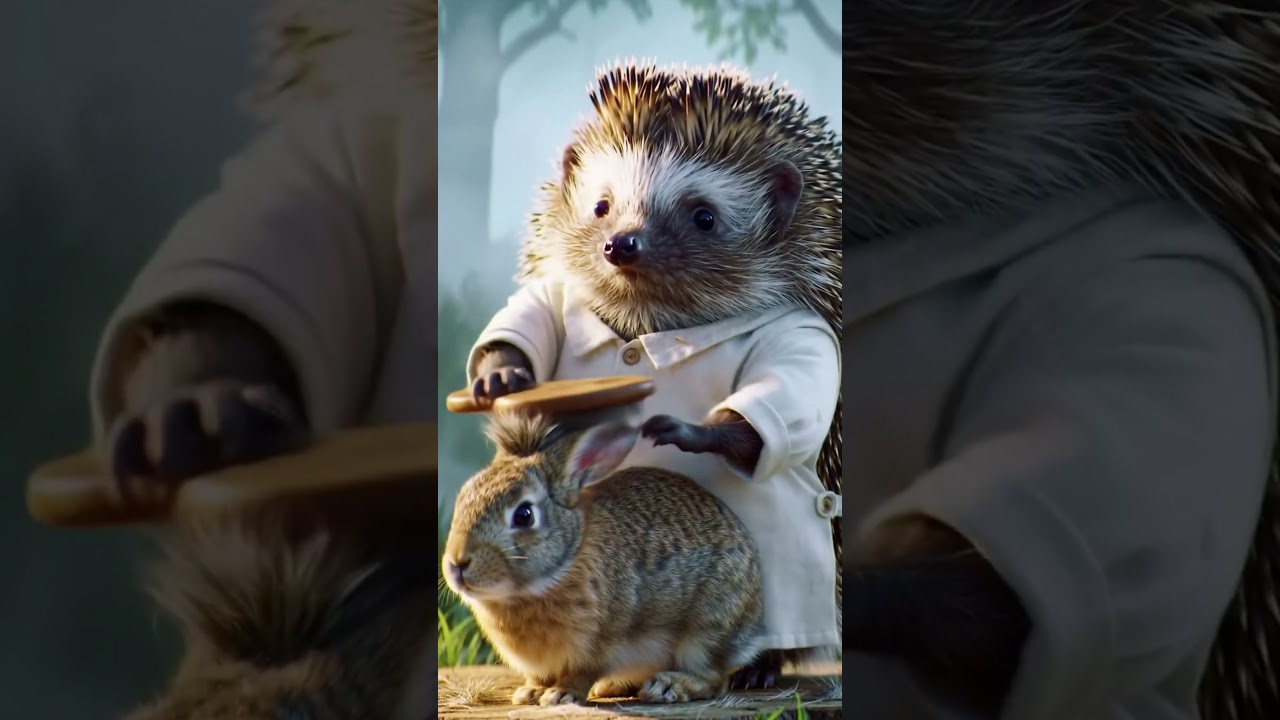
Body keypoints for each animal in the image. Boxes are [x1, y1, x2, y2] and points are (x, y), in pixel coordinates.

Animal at [441, 409, 765, 706]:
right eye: (461, 501)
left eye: (524, 515)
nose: (458, 563)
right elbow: (539, 677)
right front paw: (530, 692)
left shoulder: (596, 644)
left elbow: (580, 673)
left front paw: (560, 695)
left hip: (707, 628)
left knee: (714, 678)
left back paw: (665, 687)